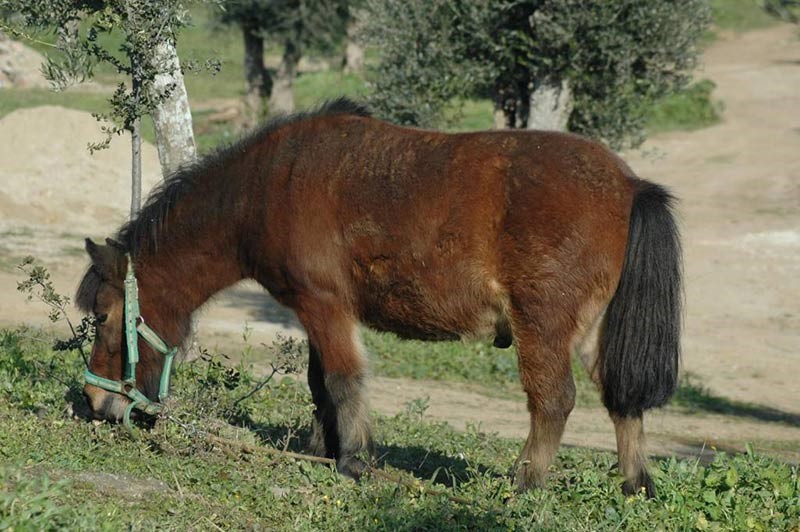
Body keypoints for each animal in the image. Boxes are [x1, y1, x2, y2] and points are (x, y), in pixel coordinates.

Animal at [78, 97, 680, 496]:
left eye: (104, 316)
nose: (94, 404)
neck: (267, 186)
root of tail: (630, 185)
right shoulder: (314, 310)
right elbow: (320, 383)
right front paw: (321, 450)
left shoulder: (324, 305)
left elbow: (344, 380)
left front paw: (353, 461)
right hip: (589, 333)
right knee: (620, 399)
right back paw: (635, 485)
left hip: (542, 326)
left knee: (553, 402)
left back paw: (524, 484)